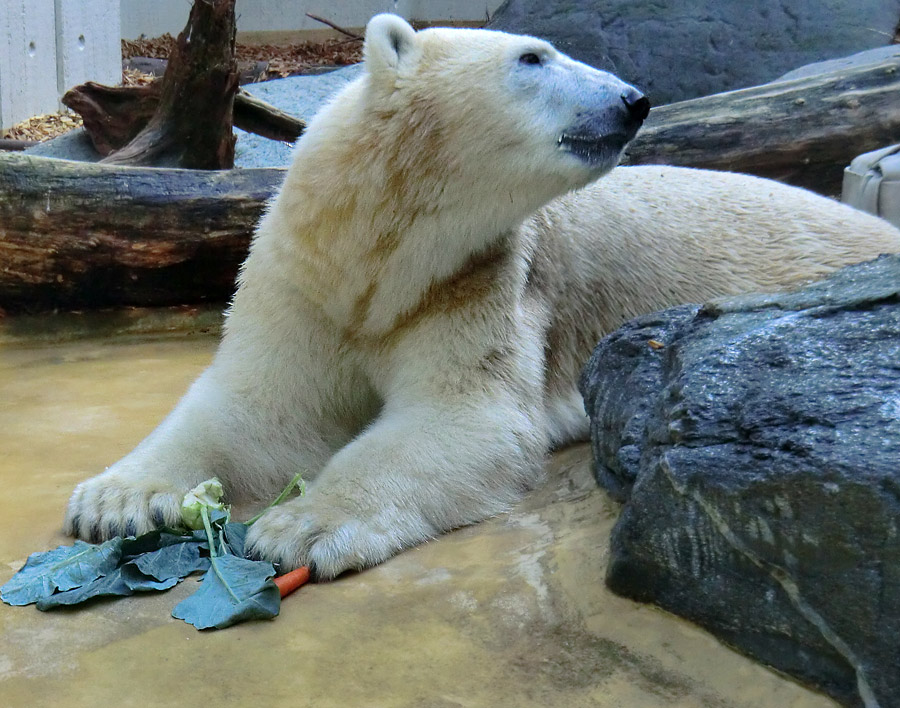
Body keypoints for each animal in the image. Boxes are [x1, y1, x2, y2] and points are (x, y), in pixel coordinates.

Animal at [65, 13, 900, 580]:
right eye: (532, 56)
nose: (633, 99)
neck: (379, 256)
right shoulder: (303, 280)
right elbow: (258, 408)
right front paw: (115, 500)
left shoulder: (482, 279)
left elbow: (463, 418)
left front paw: (301, 526)